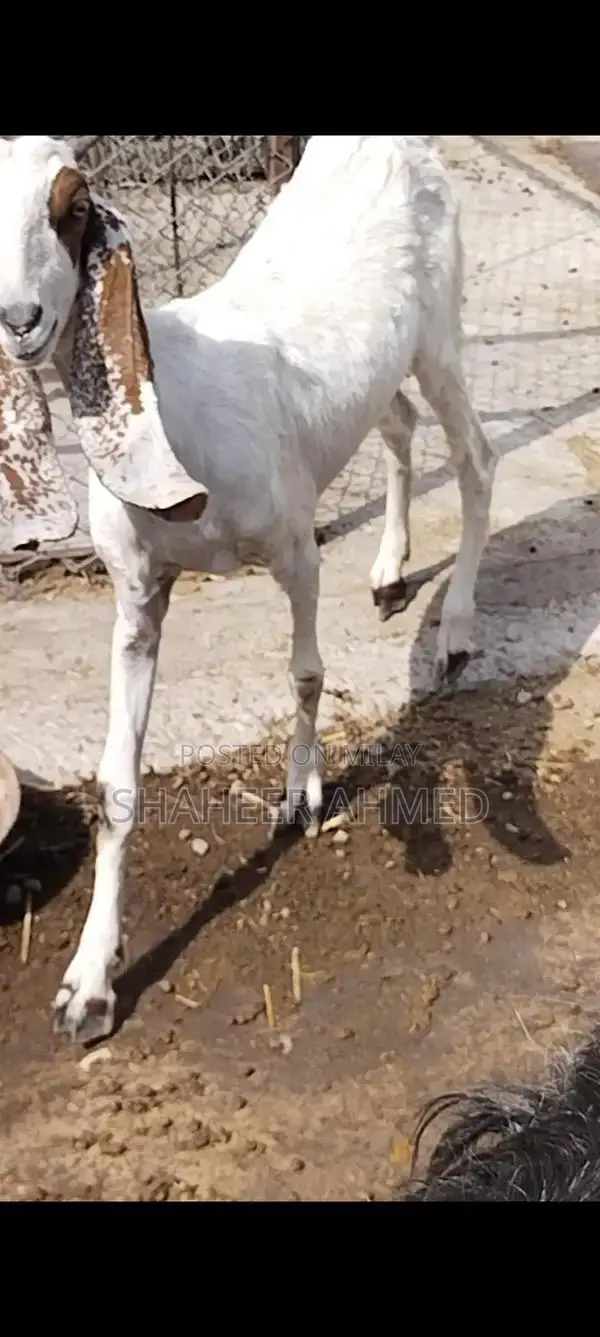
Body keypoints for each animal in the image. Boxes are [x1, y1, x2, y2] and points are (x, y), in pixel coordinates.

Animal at [0, 135, 496, 1043]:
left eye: (72, 206)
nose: (22, 320)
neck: (180, 407)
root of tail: (393, 145)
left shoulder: (296, 547)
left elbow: (304, 672)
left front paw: (301, 794)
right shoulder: (137, 595)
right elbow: (117, 785)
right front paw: (87, 987)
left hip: (440, 335)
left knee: (475, 454)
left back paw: (455, 631)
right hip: (377, 381)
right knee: (400, 426)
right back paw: (390, 571)